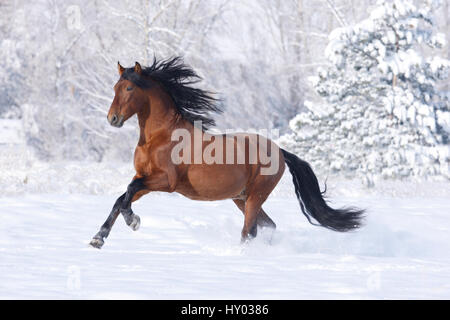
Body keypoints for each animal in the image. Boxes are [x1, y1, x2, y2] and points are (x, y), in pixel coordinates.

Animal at [89, 56, 366, 249]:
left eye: (129, 89)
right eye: (115, 87)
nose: (112, 119)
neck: (160, 137)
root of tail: (279, 150)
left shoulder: (165, 181)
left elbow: (128, 192)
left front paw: (133, 221)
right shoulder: (144, 178)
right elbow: (121, 198)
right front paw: (98, 238)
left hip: (255, 196)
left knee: (249, 231)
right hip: (241, 198)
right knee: (267, 225)